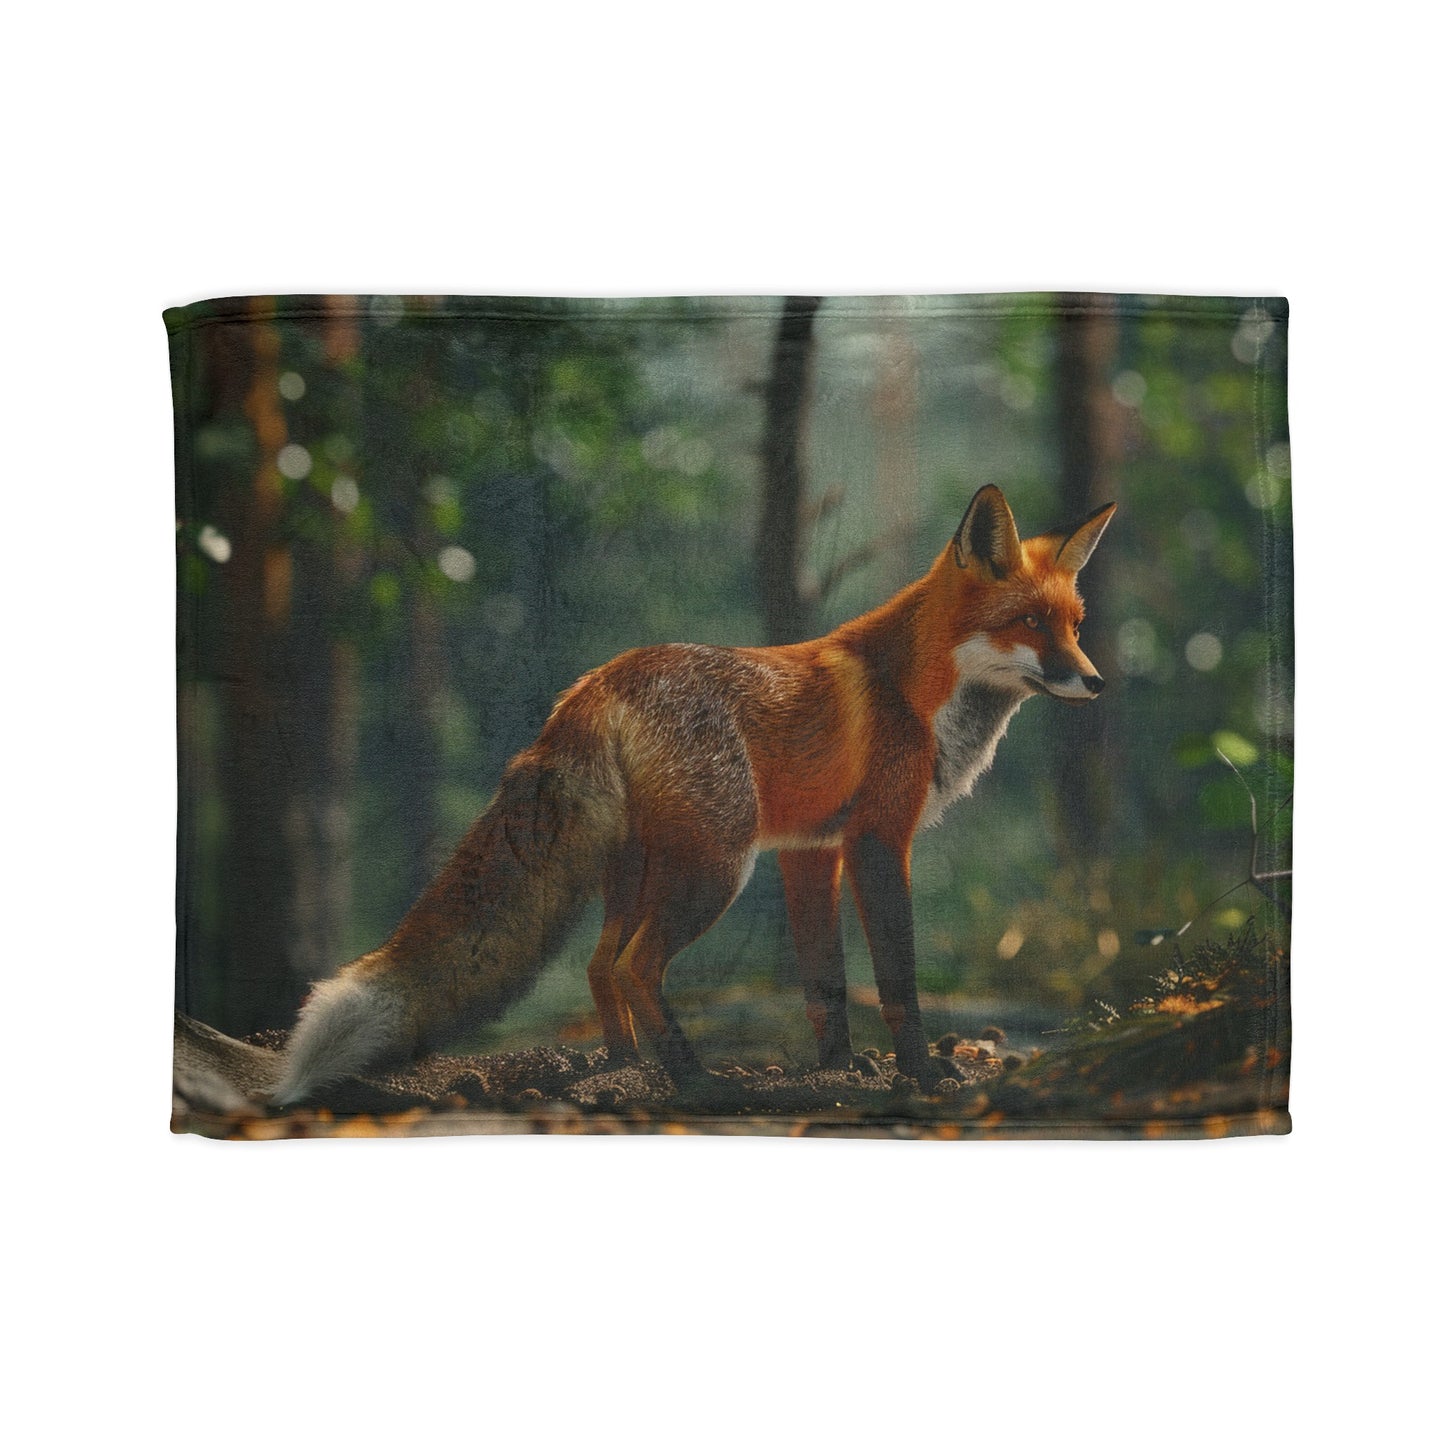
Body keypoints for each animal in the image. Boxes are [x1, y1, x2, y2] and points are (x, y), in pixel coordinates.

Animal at [272, 484, 1115, 1105]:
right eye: (1028, 622)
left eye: (1074, 624)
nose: (1096, 680)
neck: (919, 696)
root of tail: (592, 684)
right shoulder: (877, 838)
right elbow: (896, 975)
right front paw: (920, 1071)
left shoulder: (810, 849)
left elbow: (824, 979)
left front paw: (838, 1068)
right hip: (715, 866)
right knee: (635, 964)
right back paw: (693, 1079)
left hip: (640, 864)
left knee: (600, 964)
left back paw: (622, 1065)